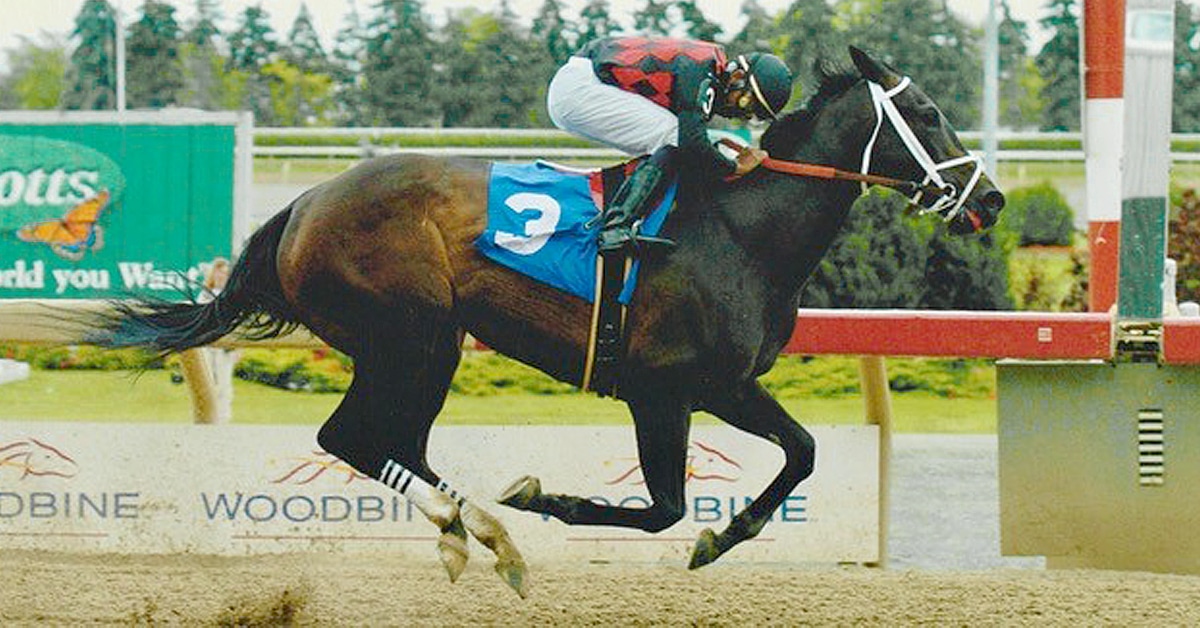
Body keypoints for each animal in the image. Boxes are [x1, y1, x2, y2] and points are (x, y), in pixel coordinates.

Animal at [87, 47, 1004, 597]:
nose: (991, 199)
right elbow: (665, 507)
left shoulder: (727, 386)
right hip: (413, 337)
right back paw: (492, 525)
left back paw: (474, 534)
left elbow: (803, 453)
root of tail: (303, 203)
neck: (741, 227)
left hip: (419, 348)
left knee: (386, 442)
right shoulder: (664, 390)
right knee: (352, 437)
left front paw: (725, 536)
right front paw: (549, 499)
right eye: (926, 114)